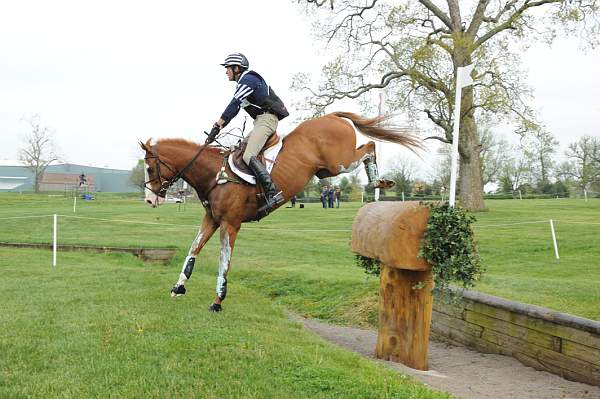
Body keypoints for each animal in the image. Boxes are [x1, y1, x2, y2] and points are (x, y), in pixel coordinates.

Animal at [141, 111, 422, 312]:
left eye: (150, 168)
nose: (149, 199)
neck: (215, 175)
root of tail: (331, 116)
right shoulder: (211, 219)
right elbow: (193, 250)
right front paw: (178, 286)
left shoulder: (230, 224)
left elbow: (224, 261)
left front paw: (218, 300)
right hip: (325, 171)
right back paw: (378, 182)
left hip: (337, 162)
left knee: (370, 146)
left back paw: (379, 182)